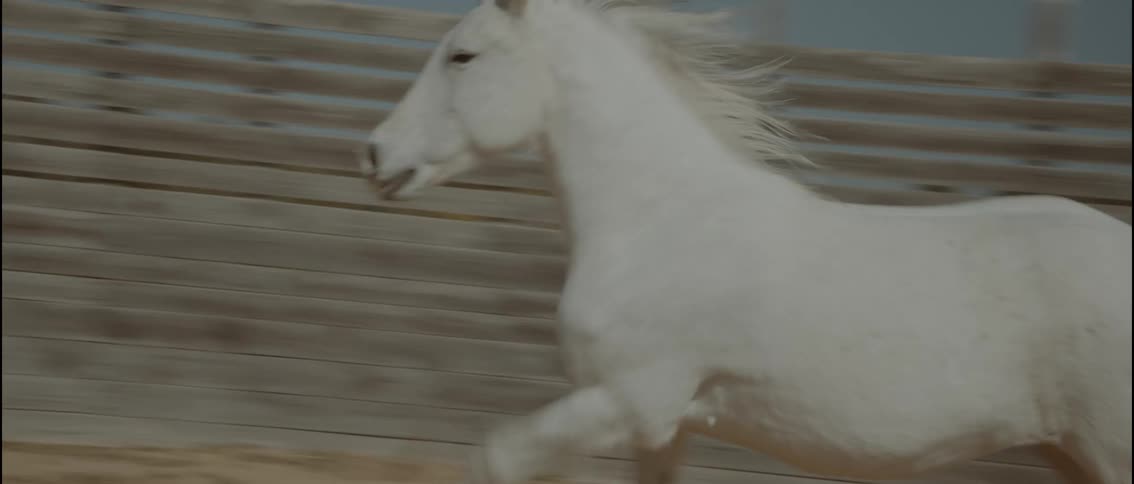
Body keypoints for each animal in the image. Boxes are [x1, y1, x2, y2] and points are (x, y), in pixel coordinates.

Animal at [359, 1, 1133, 483]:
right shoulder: (666, 429)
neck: (659, 223)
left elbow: (494, 458)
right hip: (1070, 453)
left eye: (463, 55)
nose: (375, 154)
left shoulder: (633, 401)